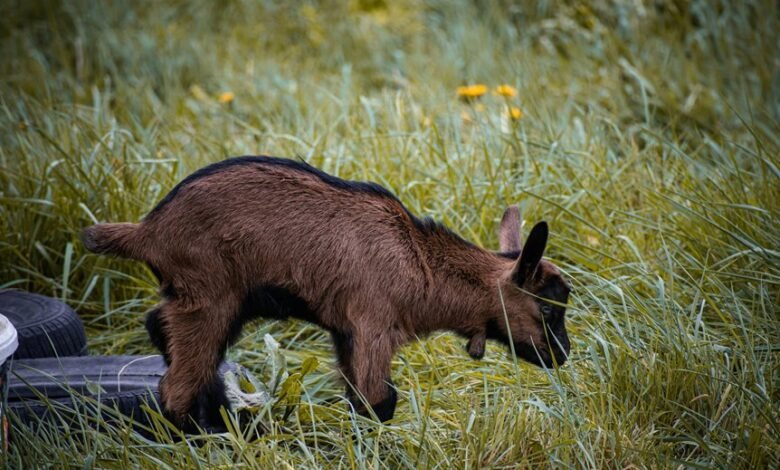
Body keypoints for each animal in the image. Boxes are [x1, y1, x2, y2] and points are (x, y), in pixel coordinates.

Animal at [82, 156, 572, 431]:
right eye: (549, 311)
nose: (563, 355)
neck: (419, 261)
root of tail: (148, 230)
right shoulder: (373, 324)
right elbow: (378, 402)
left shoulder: (346, 333)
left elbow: (360, 399)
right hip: (211, 298)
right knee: (175, 388)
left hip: (199, 300)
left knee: (162, 330)